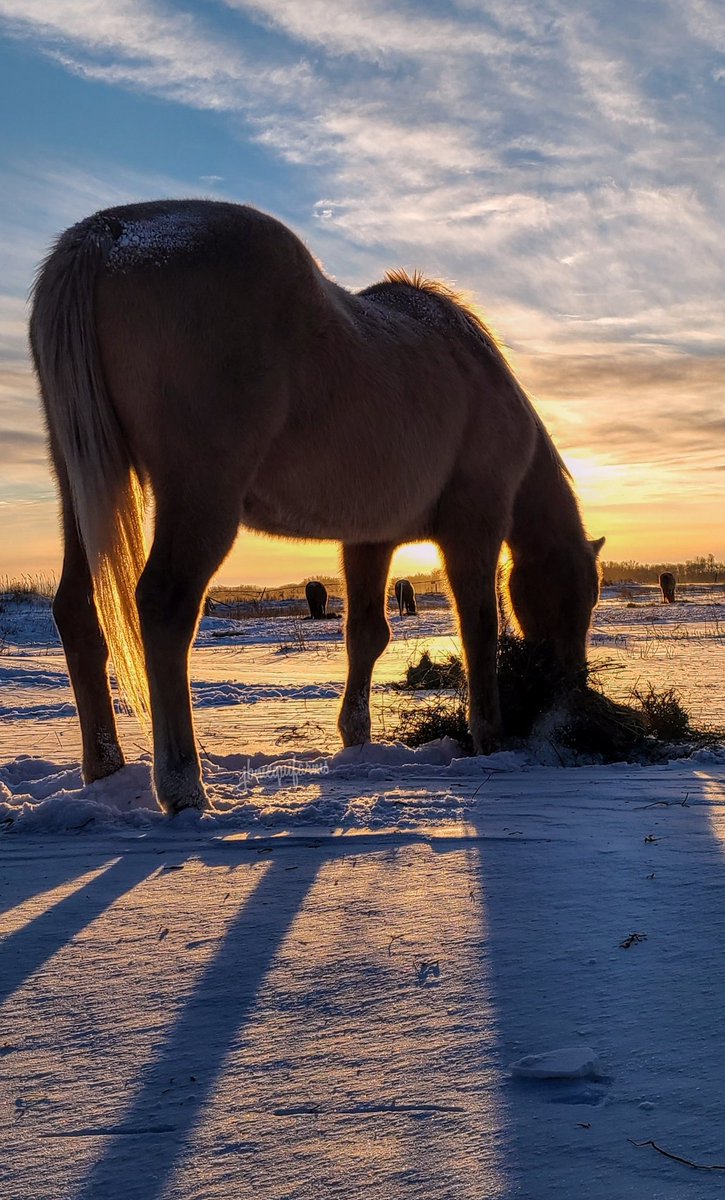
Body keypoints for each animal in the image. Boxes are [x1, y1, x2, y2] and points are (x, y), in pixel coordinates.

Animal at [30, 199, 604, 814]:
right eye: (576, 595)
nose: (574, 689)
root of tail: (110, 233)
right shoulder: (473, 529)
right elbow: (480, 627)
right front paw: (490, 737)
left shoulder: (370, 539)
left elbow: (367, 634)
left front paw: (356, 739)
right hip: (199, 496)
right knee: (165, 604)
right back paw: (183, 786)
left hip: (79, 488)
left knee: (76, 611)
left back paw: (105, 769)